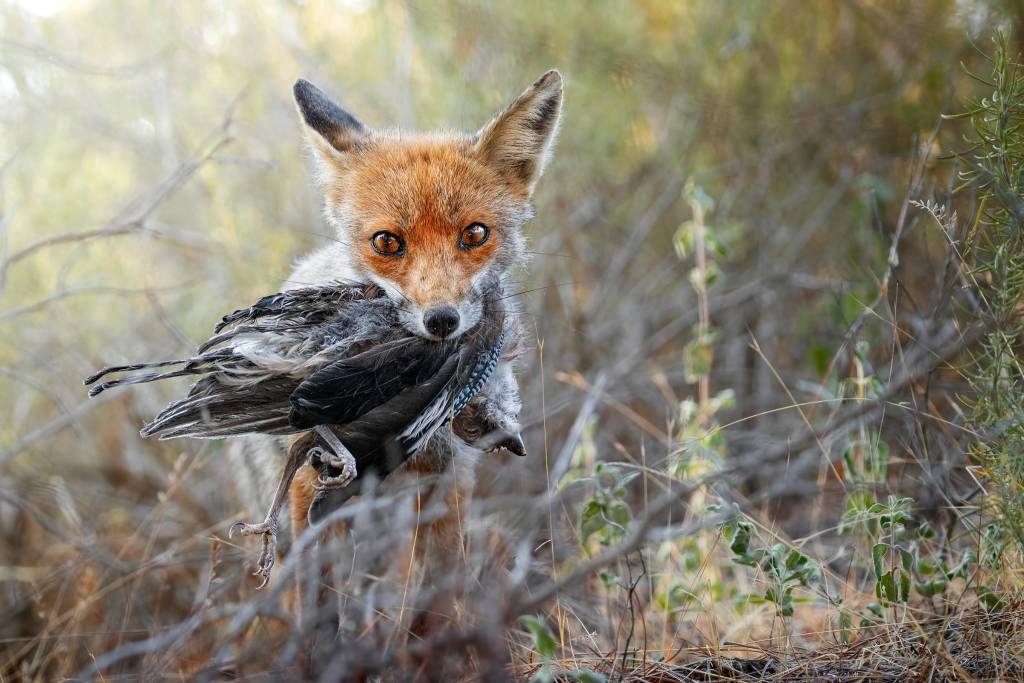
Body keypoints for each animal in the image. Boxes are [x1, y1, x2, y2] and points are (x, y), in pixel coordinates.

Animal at [225, 70, 565, 589]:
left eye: (475, 234)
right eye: (386, 242)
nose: (442, 320)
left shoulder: (446, 485)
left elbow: (447, 585)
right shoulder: (310, 491)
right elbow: (315, 591)